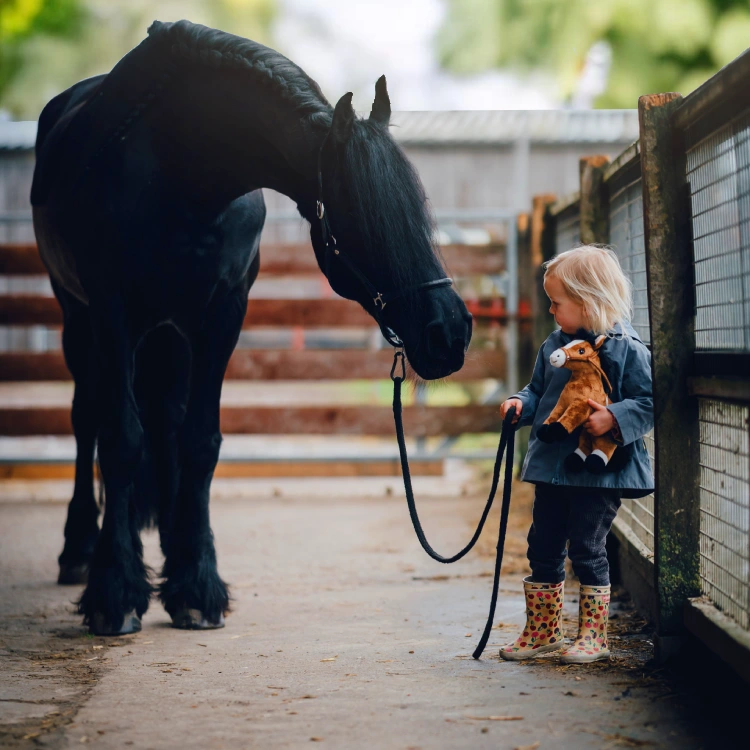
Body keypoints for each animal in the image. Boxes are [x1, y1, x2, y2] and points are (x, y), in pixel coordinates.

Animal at [32, 20, 472, 636]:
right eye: (364, 217)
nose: (449, 333)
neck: (179, 170)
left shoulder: (222, 314)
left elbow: (200, 442)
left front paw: (195, 586)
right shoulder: (111, 312)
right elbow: (119, 440)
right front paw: (115, 594)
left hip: (169, 335)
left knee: (166, 420)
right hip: (78, 319)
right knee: (86, 419)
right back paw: (78, 551)